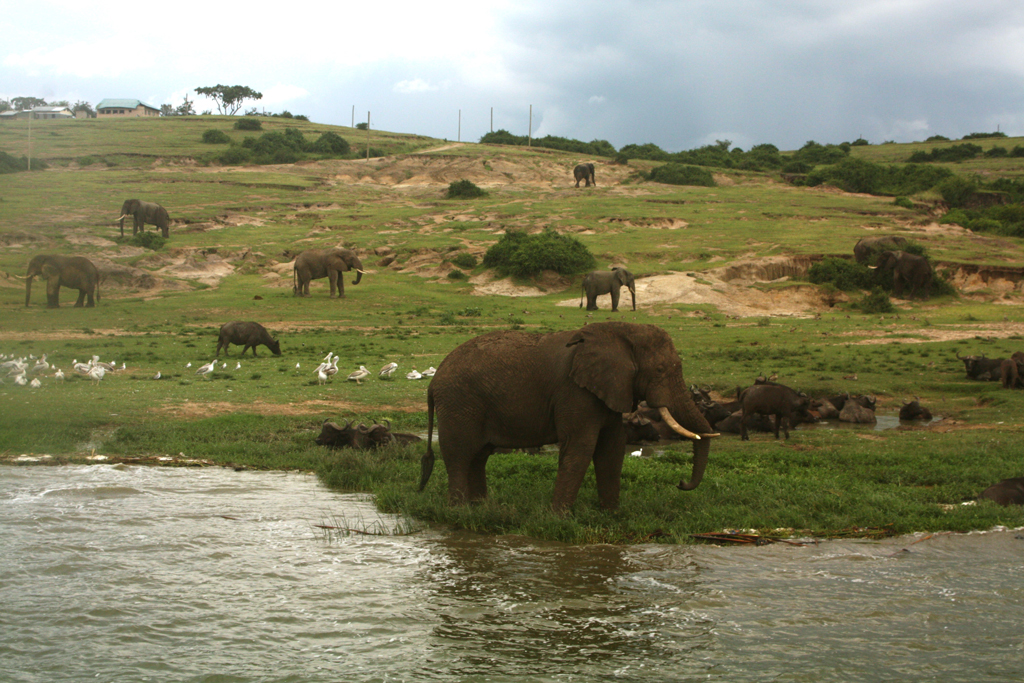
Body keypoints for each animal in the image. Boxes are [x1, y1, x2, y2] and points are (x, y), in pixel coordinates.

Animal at [419, 323, 716, 509]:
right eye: (661, 370)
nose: (681, 483)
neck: (620, 329)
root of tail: (433, 382)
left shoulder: (607, 389)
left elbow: (612, 448)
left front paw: (611, 514)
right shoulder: (575, 391)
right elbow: (581, 447)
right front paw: (558, 517)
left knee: (478, 457)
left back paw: (480, 508)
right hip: (459, 403)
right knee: (460, 455)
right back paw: (459, 511)